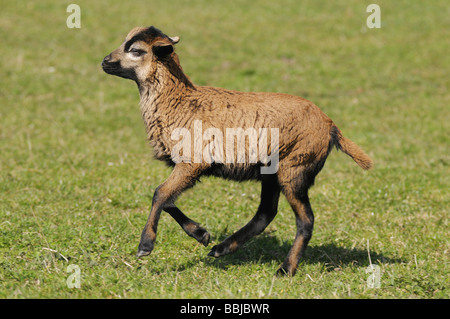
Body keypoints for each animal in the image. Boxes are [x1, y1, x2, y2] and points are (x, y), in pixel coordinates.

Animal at [102, 26, 372, 276]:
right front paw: (202, 234)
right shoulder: (190, 166)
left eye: (136, 50)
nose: (105, 61)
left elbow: (160, 194)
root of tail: (330, 125)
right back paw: (221, 249)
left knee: (305, 221)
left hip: (295, 167)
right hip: (272, 171)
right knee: (266, 213)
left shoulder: (194, 161)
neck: (180, 102)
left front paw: (145, 246)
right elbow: (168, 198)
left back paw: (285, 270)